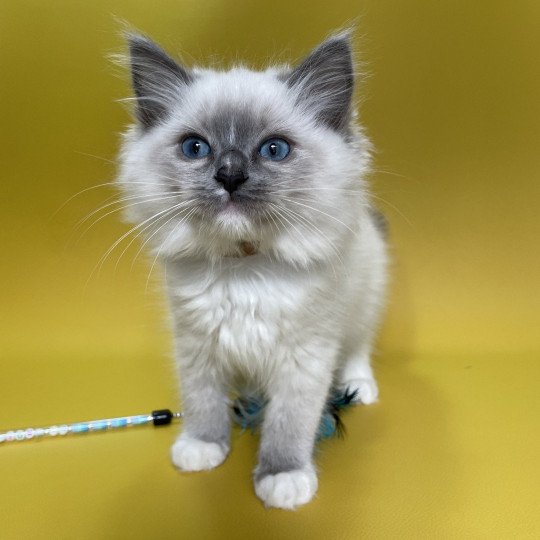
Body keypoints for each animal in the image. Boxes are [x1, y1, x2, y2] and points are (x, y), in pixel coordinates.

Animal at [117, 30, 388, 510]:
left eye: (274, 150)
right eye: (195, 148)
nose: (230, 174)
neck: (243, 269)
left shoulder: (304, 357)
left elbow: (288, 423)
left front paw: (282, 478)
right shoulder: (197, 346)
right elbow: (203, 402)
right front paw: (203, 447)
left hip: (365, 300)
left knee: (358, 348)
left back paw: (361, 386)